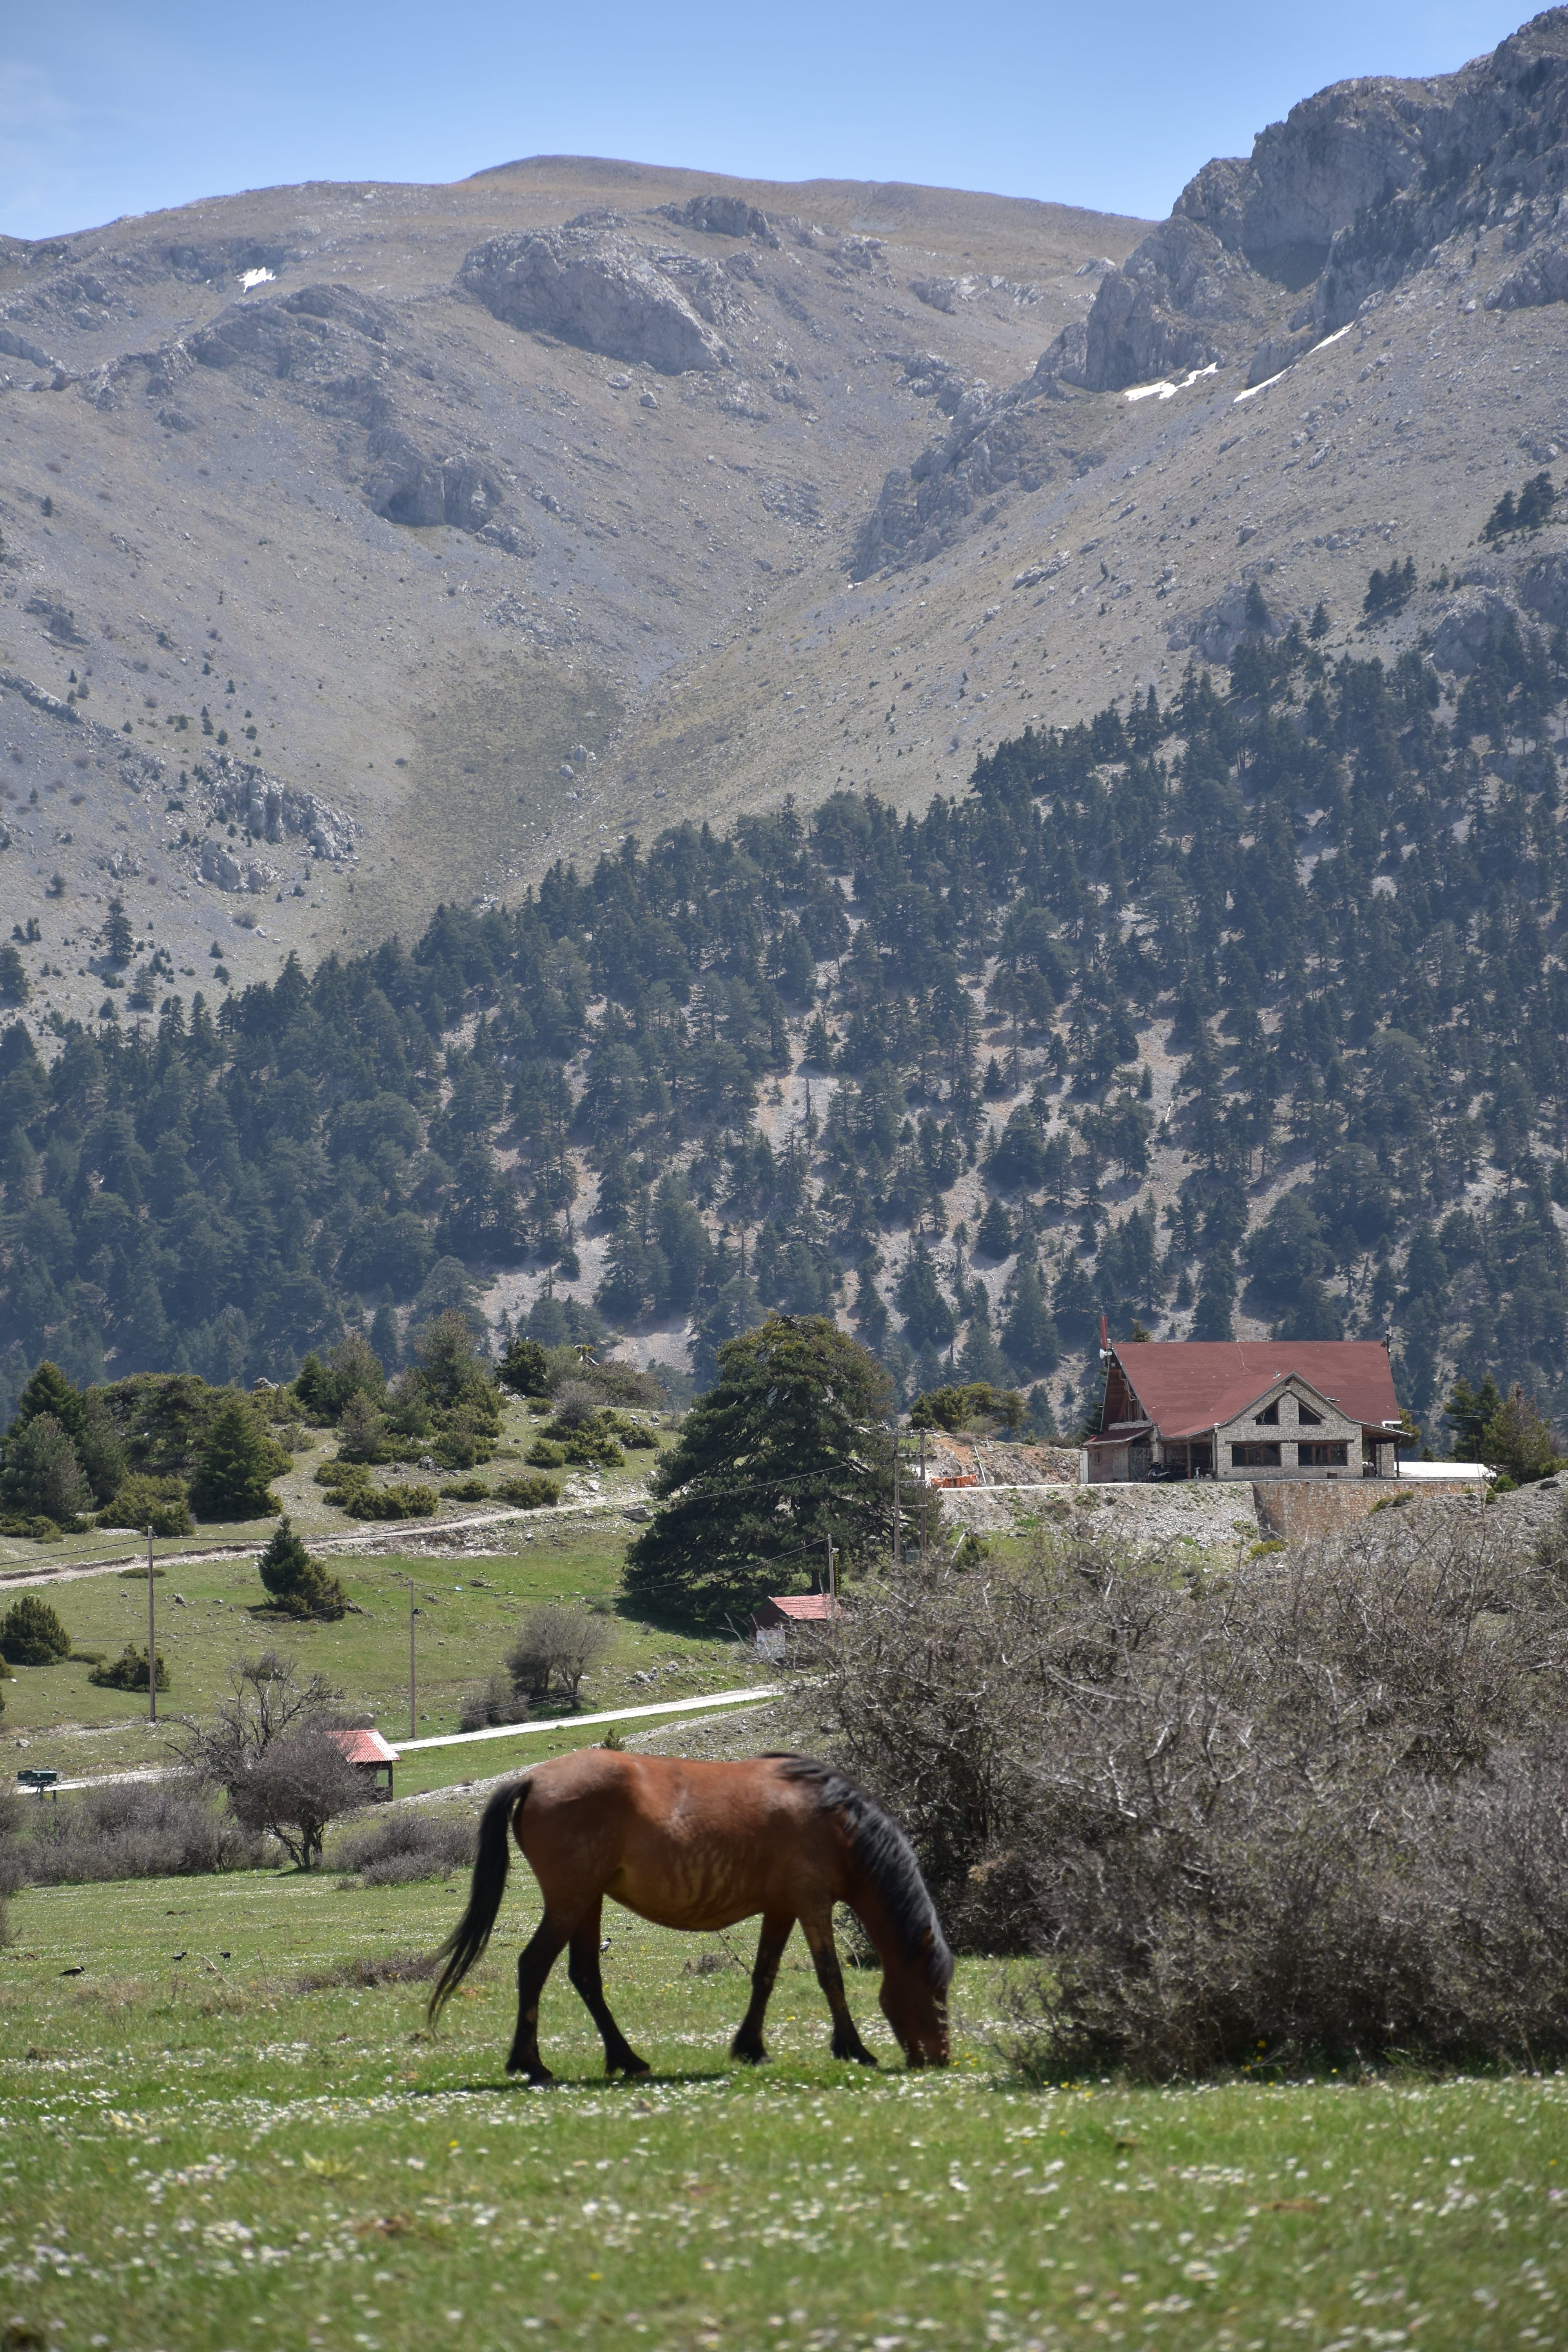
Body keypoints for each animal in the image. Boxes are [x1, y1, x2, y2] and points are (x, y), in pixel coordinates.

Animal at [423, 1750, 949, 2079]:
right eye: (935, 1991)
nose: (940, 2058)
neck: (834, 1821)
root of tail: (533, 1779)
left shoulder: (782, 1909)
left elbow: (764, 1976)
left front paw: (751, 2048)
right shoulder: (812, 1904)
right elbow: (831, 1978)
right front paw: (854, 2049)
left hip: (588, 1902)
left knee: (585, 1976)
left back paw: (626, 2058)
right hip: (570, 1903)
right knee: (533, 1966)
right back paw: (531, 2064)